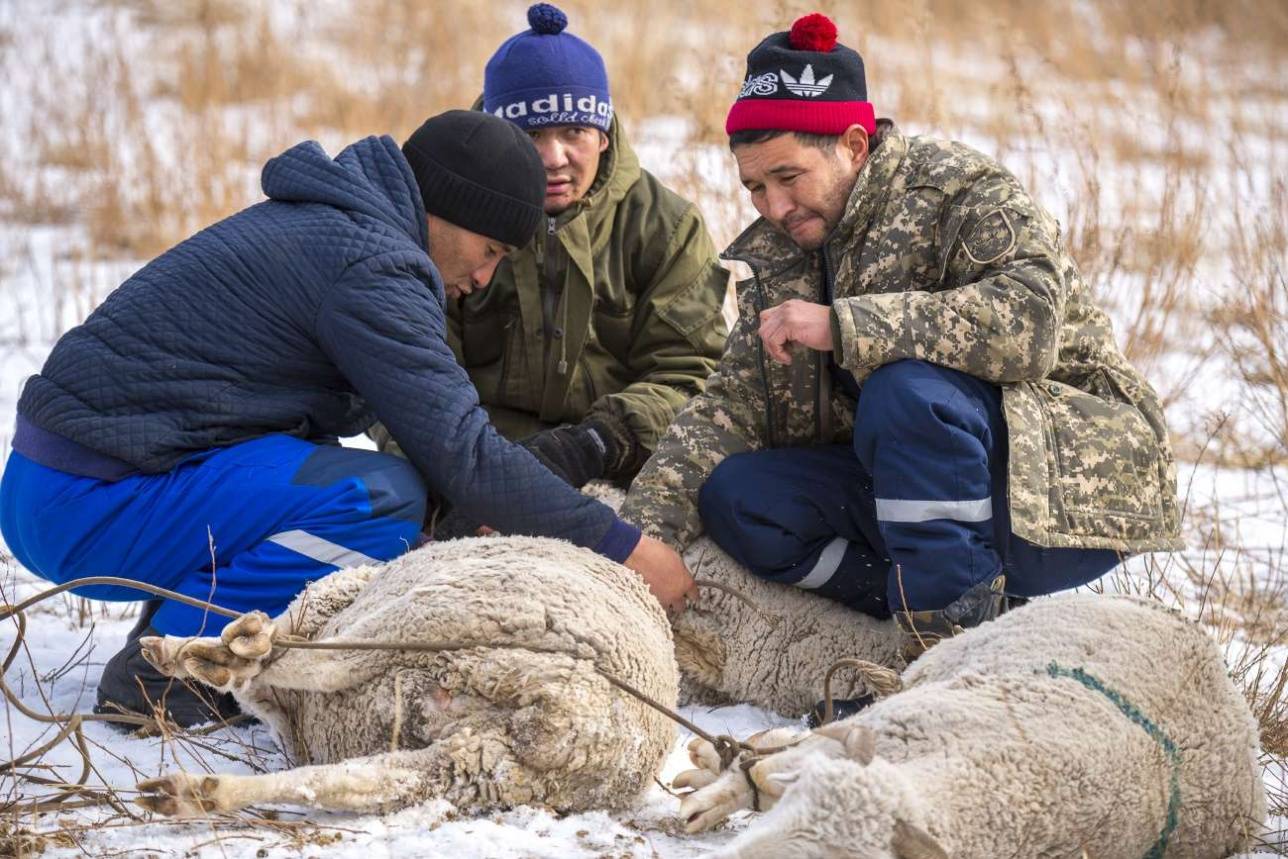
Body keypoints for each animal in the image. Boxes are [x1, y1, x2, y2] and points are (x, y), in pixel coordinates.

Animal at [132, 538, 680, 819]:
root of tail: (579, 717)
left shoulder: (325, 606)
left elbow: (269, 667)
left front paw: (196, 652)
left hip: (451, 606)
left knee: (321, 664)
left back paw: (227, 654)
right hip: (478, 767)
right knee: (349, 781)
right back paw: (195, 793)